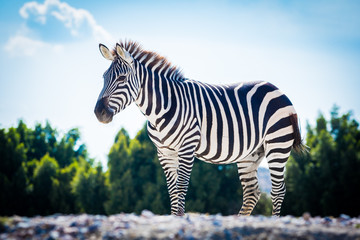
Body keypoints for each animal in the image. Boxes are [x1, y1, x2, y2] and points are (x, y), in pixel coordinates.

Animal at [93, 40, 304, 217]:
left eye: (121, 78)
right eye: (103, 77)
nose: (98, 113)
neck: (160, 110)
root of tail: (277, 89)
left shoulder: (187, 147)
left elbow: (181, 186)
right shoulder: (164, 153)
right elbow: (172, 190)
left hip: (277, 144)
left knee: (278, 190)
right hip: (250, 153)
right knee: (252, 193)